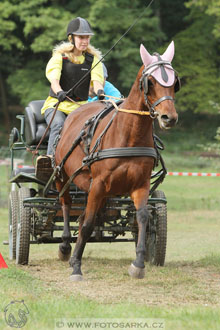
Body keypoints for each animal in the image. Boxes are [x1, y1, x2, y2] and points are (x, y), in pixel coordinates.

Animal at [54, 40, 180, 280]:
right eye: (150, 82)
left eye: (174, 82)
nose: (169, 118)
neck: (129, 136)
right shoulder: (98, 183)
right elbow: (87, 224)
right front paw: (76, 267)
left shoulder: (140, 184)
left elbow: (142, 218)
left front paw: (138, 264)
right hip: (62, 175)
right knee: (66, 204)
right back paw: (65, 248)